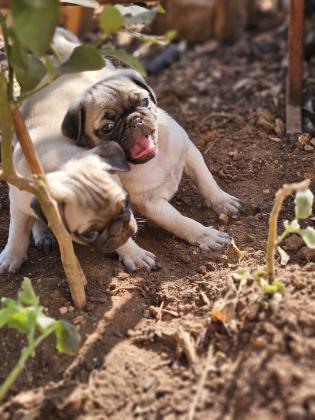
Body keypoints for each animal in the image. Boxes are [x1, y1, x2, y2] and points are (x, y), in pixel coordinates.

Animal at [0, 139, 138, 274]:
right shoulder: (18, 204)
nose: (119, 230)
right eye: (89, 234)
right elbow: (17, 232)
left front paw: (134, 253)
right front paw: (11, 256)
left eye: (126, 204)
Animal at [29, 29, 242, 272]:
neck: (152, 160)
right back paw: (43, 234)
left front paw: (222, 201)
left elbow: (207, 181)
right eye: (107, 128)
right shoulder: (151, 204)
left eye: (144, 101)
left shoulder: (189, 153)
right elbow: (181, 222)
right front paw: (204, 235)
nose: (134, 120)